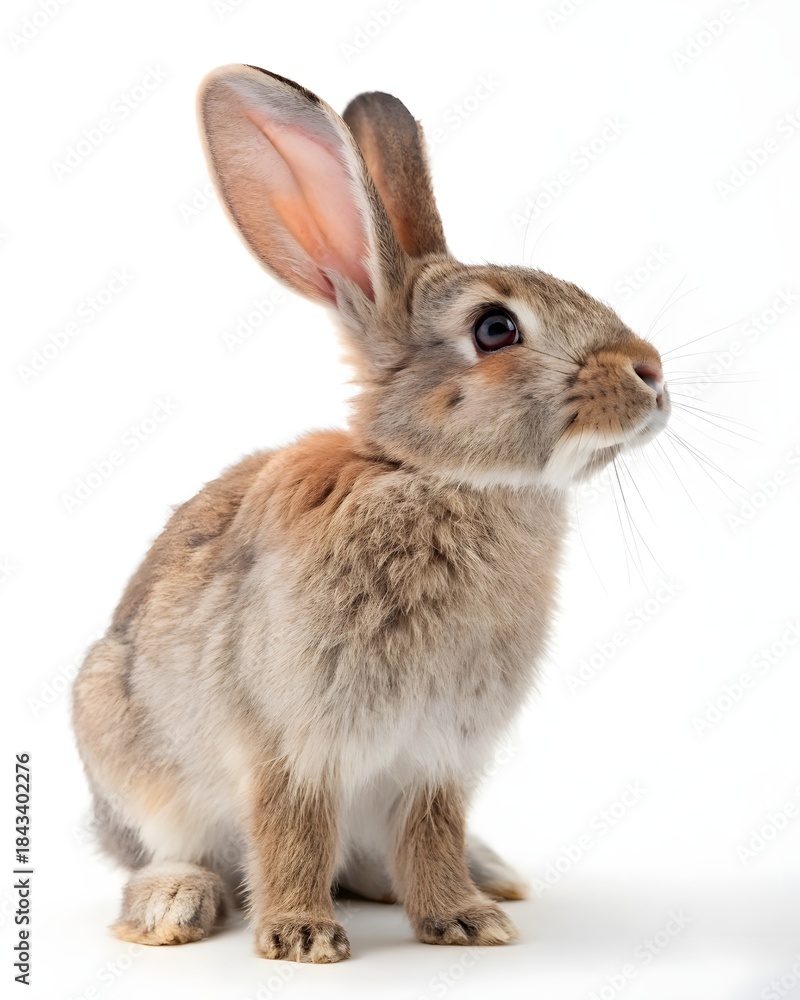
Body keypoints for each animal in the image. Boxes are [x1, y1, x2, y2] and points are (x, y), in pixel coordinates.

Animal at [71, 64, 670, 964]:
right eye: (496, 328)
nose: (652, 371)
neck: (432, 476)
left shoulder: (438, 754)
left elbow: (429, 833)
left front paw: (464, 921)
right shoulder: (290, 739)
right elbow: (292, 831)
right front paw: (301, 937)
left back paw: (484, 877)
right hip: (125, 744)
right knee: (176, 848)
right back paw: (174, 904)